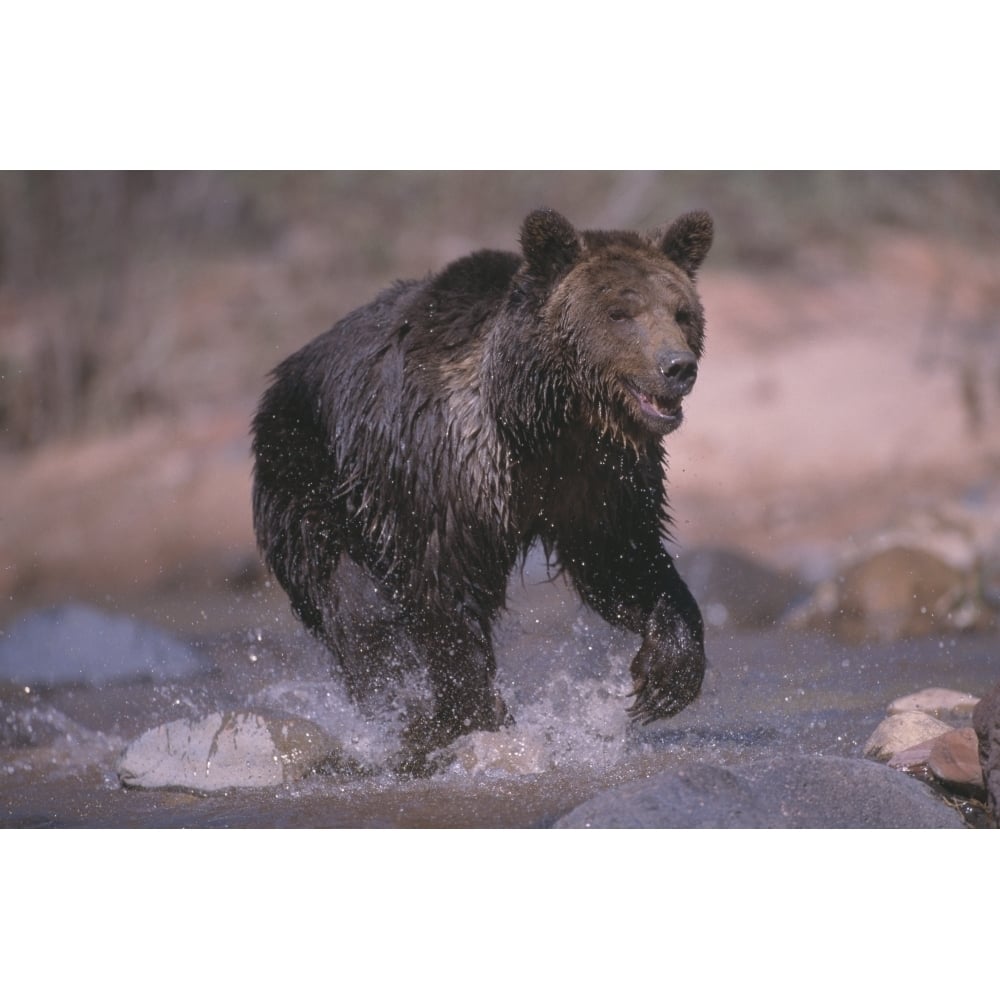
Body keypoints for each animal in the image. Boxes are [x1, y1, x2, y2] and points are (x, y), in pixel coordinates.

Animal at [254, 209, 716, 772]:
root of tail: (282, 372)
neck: (541, 417)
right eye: (619, 312)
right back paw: (405, 714)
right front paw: (473, 716)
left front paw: (665, 675)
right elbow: (442, 587)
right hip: (309, 474)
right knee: (354, 607)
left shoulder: (601, 478)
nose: (677, 367)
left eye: (682, 313)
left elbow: (624, 563)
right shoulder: (446, 466)